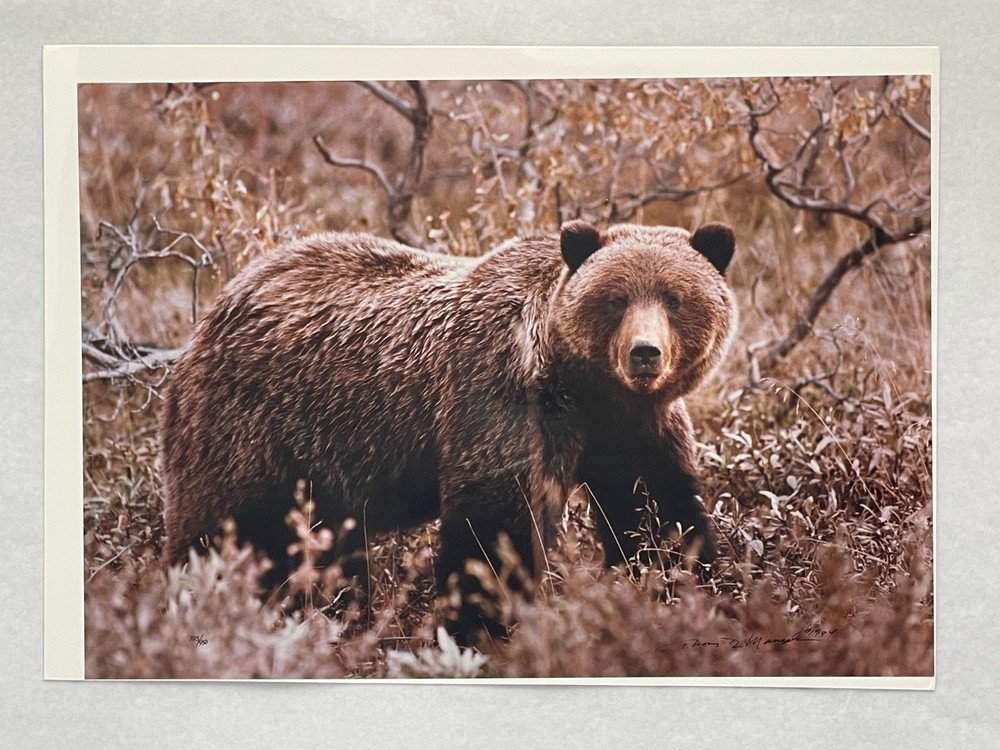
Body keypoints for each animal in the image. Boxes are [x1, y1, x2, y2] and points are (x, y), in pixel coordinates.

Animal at [159, 220, 738, 643]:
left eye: (675, 298)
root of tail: (210, 316)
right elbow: (492, 527)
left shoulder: (633, 431)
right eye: (616, 299)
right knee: (235, 533)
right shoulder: (501, 401)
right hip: (255, 426)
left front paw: (686, 591)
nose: (645, 353)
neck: (585, 388)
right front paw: (481, 628)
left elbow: (656, 513)